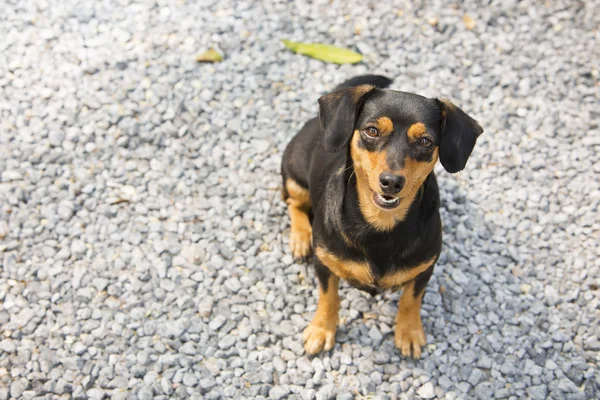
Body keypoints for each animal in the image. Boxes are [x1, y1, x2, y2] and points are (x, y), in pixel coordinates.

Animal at [280, 75, 482, 360]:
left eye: (425, 142)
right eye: (372, 131)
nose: (391, 182)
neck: (380, 223)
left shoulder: (425, 268)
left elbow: (411, 300)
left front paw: (409, 332)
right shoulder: (324, 263)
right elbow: (329, 297)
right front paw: (321, 329)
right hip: (294, 176)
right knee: (293, 203)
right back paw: (300, 238)